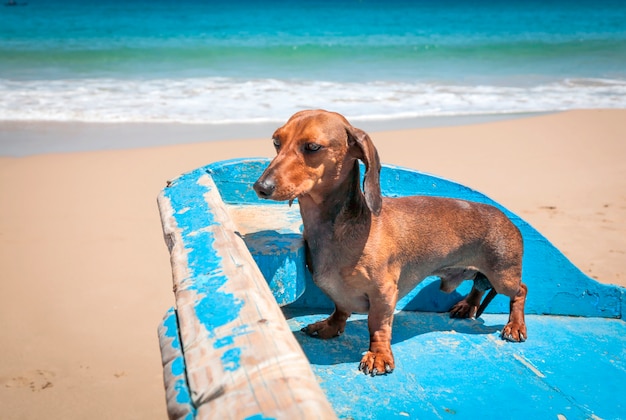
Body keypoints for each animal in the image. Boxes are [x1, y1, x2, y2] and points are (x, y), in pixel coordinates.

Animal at [251, 110, 524, 376]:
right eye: (276, 142)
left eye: (312, 146)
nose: (260, 187)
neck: (337, 229)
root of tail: (506, 218)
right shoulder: (338, 293)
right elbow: (340, 308)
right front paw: (330, 326)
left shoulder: (384, 293)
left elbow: (378, 325)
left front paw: (379, 356)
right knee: (478, 285)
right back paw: (468, 306)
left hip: (503, 276)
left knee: (520, 290)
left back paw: (515, 326)